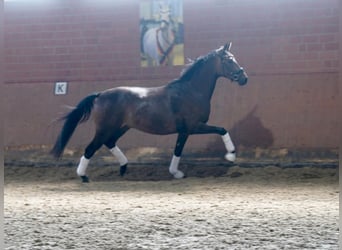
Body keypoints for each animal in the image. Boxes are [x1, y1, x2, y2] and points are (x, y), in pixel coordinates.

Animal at [50, 42, 247, 182]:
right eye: (229, 60)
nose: (244, 78)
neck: (191, 91)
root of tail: (99, 95)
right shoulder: (192, 127)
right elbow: (219, 130)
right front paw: (230, 155)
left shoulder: (187, 130)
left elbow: (180, 149)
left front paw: (176, 173)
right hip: (105, 128)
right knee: (91, 148)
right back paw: (84, 176)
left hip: (122, 127)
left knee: (109, 142)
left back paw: (123, 168)